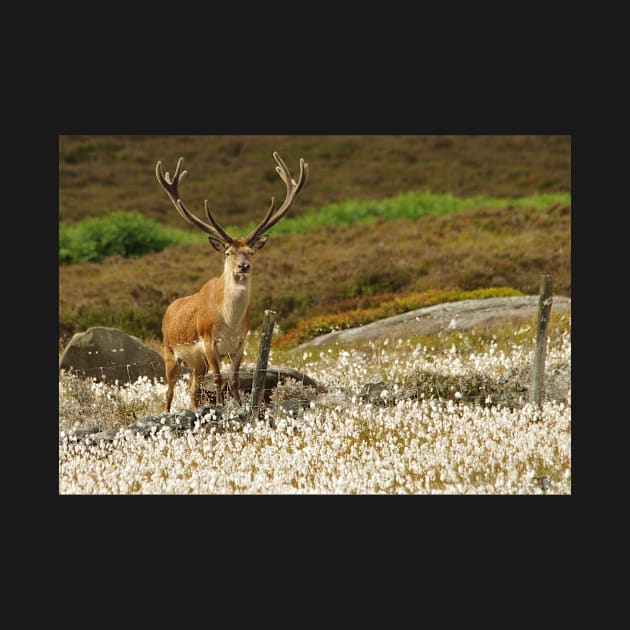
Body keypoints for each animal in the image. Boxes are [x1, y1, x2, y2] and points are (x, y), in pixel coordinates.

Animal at [156, 151, 308, 412]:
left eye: (251, 252)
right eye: (228, 253)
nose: (243, 266)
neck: (229, 322)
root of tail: (168, 310)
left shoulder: (240, 343)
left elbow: (235, 380)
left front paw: (238, 405)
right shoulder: (209, 341)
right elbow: (219, 379)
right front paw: (220, 406)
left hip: (197, 363)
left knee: (193, 388)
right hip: (170, 351)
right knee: (169, 391)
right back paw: (168, 411)